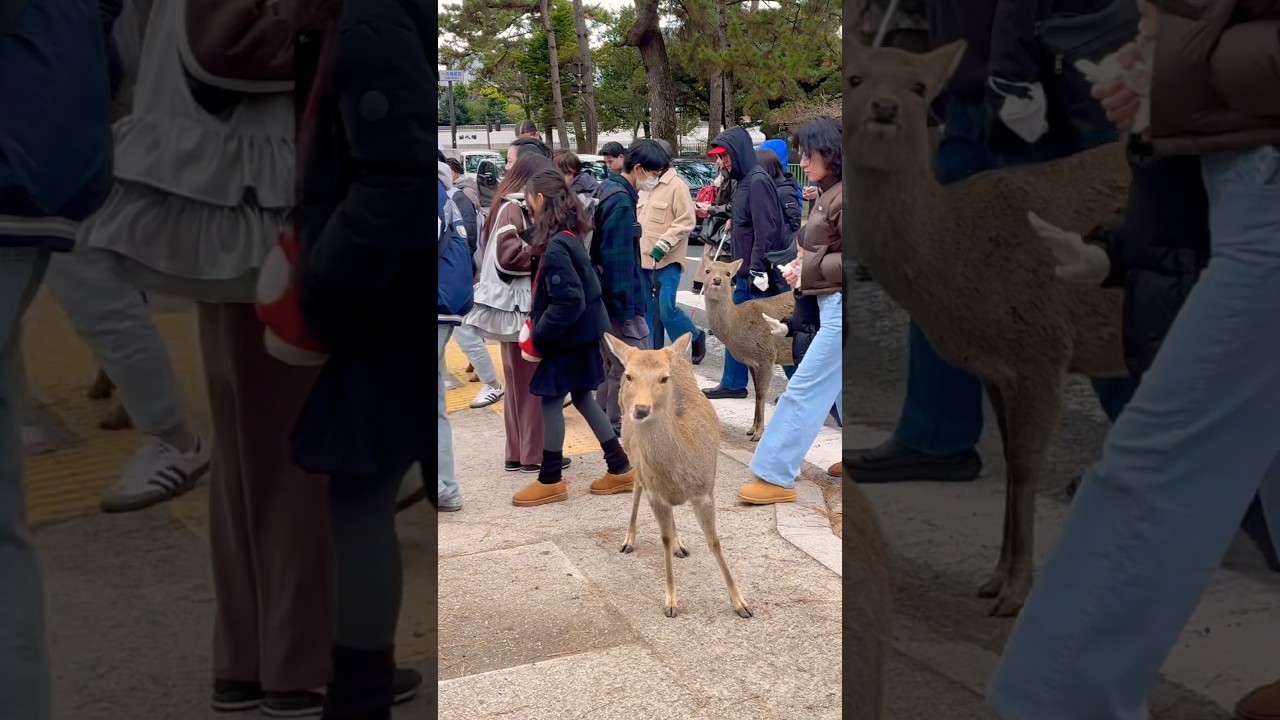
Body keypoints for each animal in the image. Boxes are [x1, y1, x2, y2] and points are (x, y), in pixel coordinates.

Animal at [603, 332, 752, 619]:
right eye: (629, 375)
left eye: (664, 378)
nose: (640, 409)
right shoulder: (656, 493)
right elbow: (662, 538)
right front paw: (671, 602)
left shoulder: (706, 490)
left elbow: (714, 542)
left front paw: (741, 603)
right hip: (633, 454)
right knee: (636, 485)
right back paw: (629, 539)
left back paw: (679, 544)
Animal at [700, 259, 796, 442]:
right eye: (707, 270)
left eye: (728, 273)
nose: (717, 280)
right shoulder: (752, 362)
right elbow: (757, 392)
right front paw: (751, 429)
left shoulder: (767, 356)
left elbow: (761, 393)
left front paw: (758, 433)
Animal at [845, 39, 1131, 617]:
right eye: (854, 79)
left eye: (919, 87)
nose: (884, 107)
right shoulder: (995, 367)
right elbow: (1010, 460)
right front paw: (995, 577)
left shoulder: (1043, 346)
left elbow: (1023, 464)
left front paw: (1016, 592)